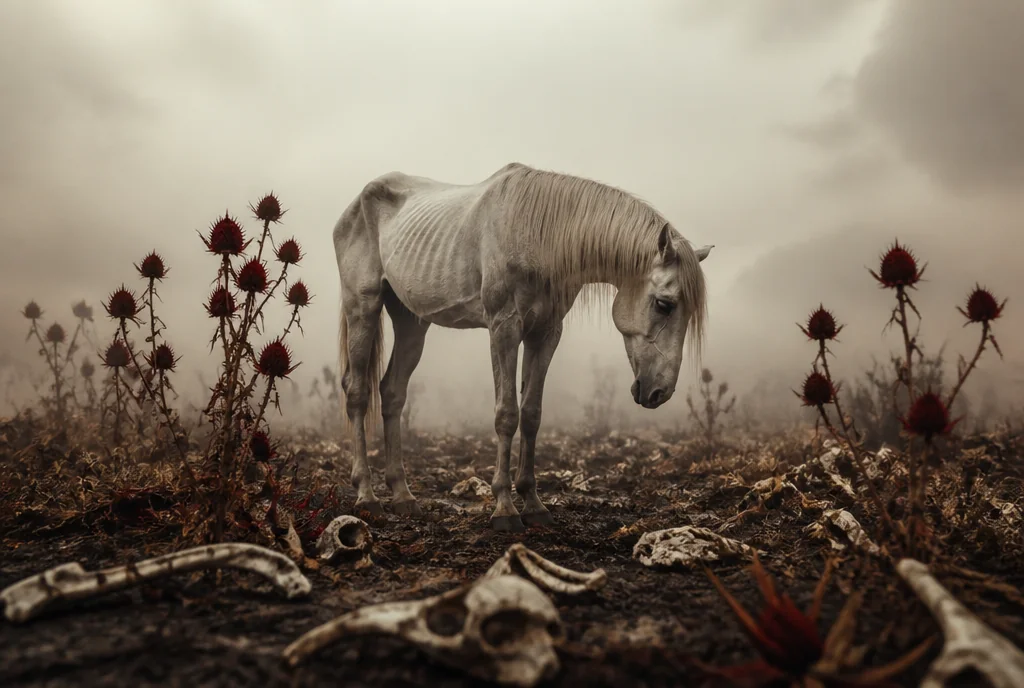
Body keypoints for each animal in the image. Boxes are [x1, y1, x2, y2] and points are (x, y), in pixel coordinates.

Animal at [333, 162, 712, 531]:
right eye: (664, 304)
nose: (660, 391)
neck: (538, 238)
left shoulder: (545, 334)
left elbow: (531, 414)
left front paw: (533, 503)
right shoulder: (504, 328)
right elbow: (506, 414)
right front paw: (504, 507)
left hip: (411, 321)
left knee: (392, 392)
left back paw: (402, 495)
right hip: (362, 306)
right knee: (357, 393)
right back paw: (367, 495)